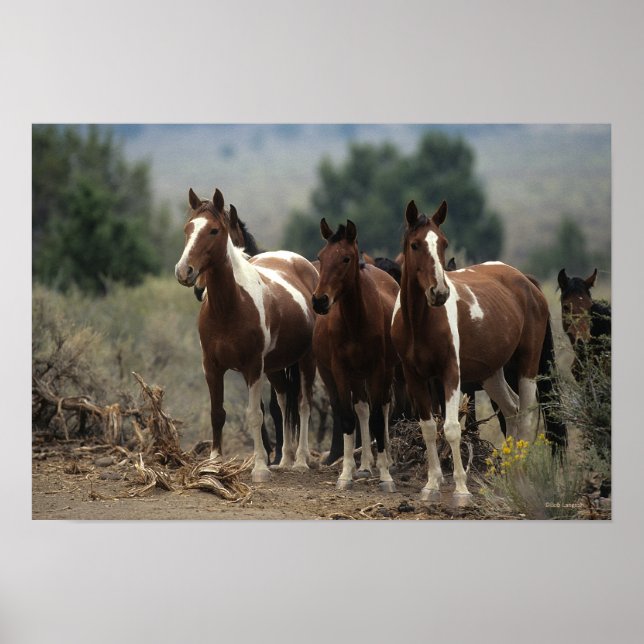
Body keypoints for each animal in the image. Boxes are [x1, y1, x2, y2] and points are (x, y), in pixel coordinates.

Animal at [175, 188, 318, 482]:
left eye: (214, 230)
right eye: (188, 228)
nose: (184, 271)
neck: (229, 306)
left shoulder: (252, 367)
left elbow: (255, 415)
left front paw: (260, 467)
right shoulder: (212, 367)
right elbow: (218, 413)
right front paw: (214, 463)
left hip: (306, 360)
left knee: (303, 404)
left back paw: (300, 460)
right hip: (275, 367)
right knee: (284, 401)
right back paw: (285, 459)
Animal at [312, 219, 400, 492]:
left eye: (346, 258)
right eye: (321, 256)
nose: (320, 301)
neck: (355, 321)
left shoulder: (378, 368)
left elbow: (377, 419)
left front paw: (386, 477)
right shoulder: (340, 370)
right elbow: (349, 417)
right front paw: (346, 475)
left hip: (384, 371)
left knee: (383, 407)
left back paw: (385, 461)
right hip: (346, 375)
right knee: (361, 408)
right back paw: (365, 466)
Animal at [391, 199, 566, 499]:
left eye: (443, 243)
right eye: (415, 244)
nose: (439, 293)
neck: (419, 323)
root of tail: (526, 281)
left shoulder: (451, 373)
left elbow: (451, 428)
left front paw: (461, 488)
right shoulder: (414, 376)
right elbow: (429, 428)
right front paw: (431, 484)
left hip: (527, 365)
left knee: (526, 416)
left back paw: (522, 478)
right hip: (492, 372)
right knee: (512, 409)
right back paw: (512, 476)